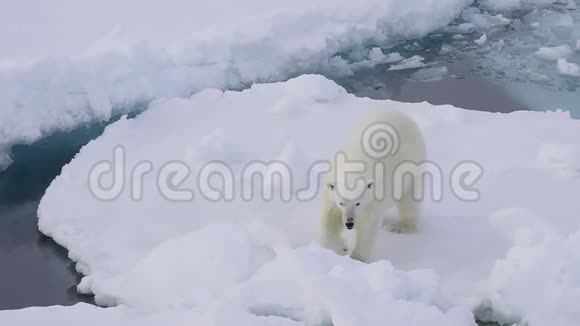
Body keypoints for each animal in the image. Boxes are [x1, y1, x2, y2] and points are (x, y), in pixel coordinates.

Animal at [318, 109, 426, 262]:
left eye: (358, 203)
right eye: (341, 203)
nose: (349, 223)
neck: (354, 163)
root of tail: (400, 113)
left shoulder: (374, 195)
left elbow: (367, 226)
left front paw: (357, 258)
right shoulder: (330, 195)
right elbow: (328, 220)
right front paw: (340, 247)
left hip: (413, 166)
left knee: (409, 199)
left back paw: (400, 226)